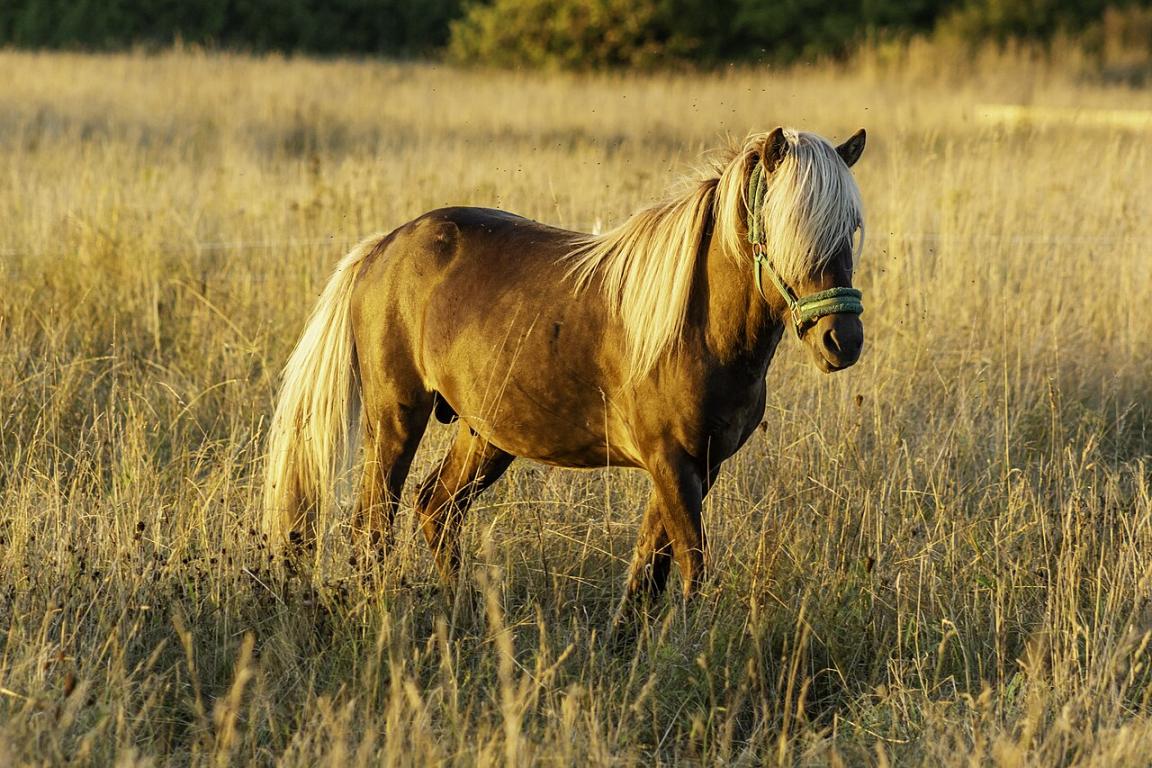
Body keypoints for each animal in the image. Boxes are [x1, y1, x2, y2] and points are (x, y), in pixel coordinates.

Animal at [262, 126, 868, 635]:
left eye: (851, 232)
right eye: (789, 229)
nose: (843, 341)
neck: (695, 327)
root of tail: (383, 246)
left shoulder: (699, 465)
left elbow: (650, 568)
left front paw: (628, 644)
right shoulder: (672, 463)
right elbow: (691, 566)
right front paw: (687, 645)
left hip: (485, 435)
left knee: (437, 508)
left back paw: (466, 614)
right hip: (396, 420)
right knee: (373, 525)